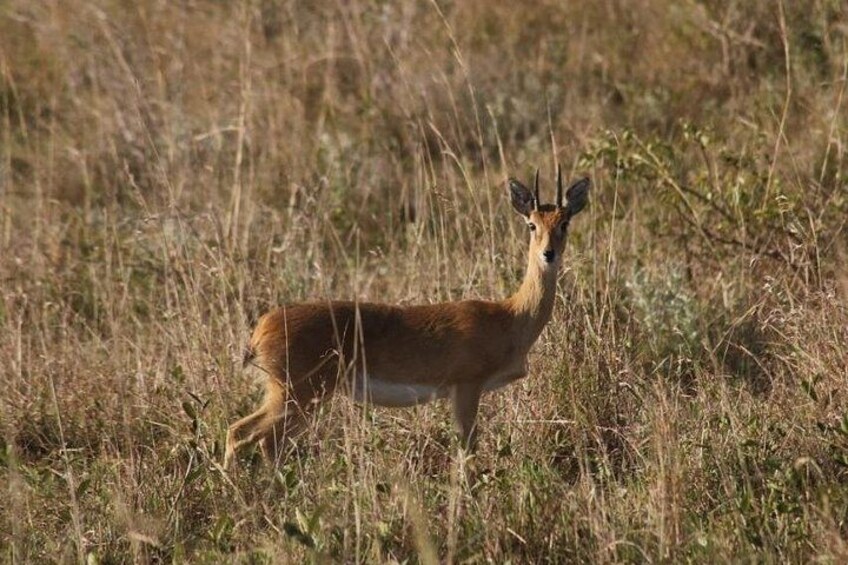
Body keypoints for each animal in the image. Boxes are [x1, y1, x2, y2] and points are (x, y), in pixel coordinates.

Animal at [224, 168, 590, 469]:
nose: (548, 254)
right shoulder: (466, 387)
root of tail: (260, 329)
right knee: (242, 433)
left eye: (564, 223)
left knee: (260, 441)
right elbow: (468, 451)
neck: (509, 316)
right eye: (531, 224)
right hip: (295, 394)